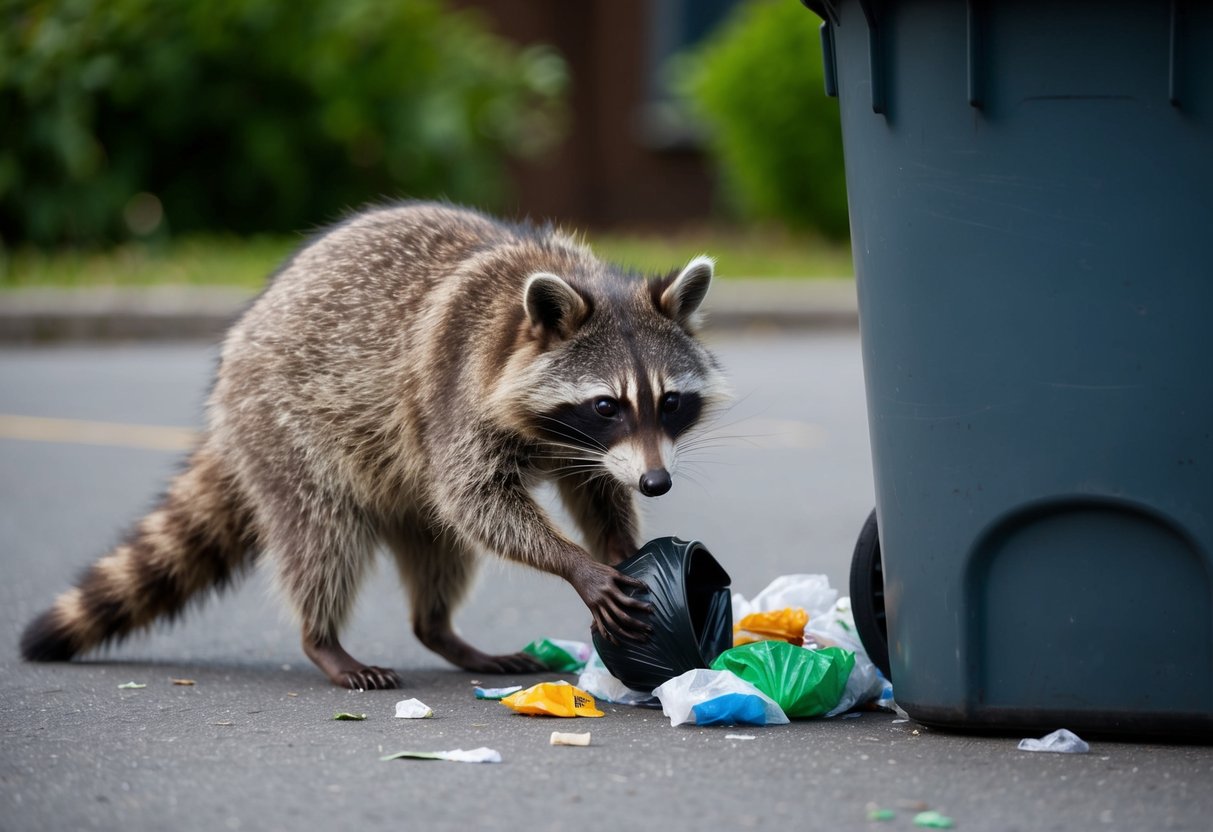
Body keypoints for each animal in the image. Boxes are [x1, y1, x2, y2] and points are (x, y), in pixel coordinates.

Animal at [20, 202, 729, 690]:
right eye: (607, 405)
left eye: (669, 402)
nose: (657, 483)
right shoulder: (457, 395)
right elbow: (477, 500)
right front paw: (576, 563)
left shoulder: (586, 448)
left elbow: (593, 486)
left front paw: (617, 541)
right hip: (283, 426)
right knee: (321, 536)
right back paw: (323, 638)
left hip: (395, 483)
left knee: (439, 547)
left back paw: (440, 630)